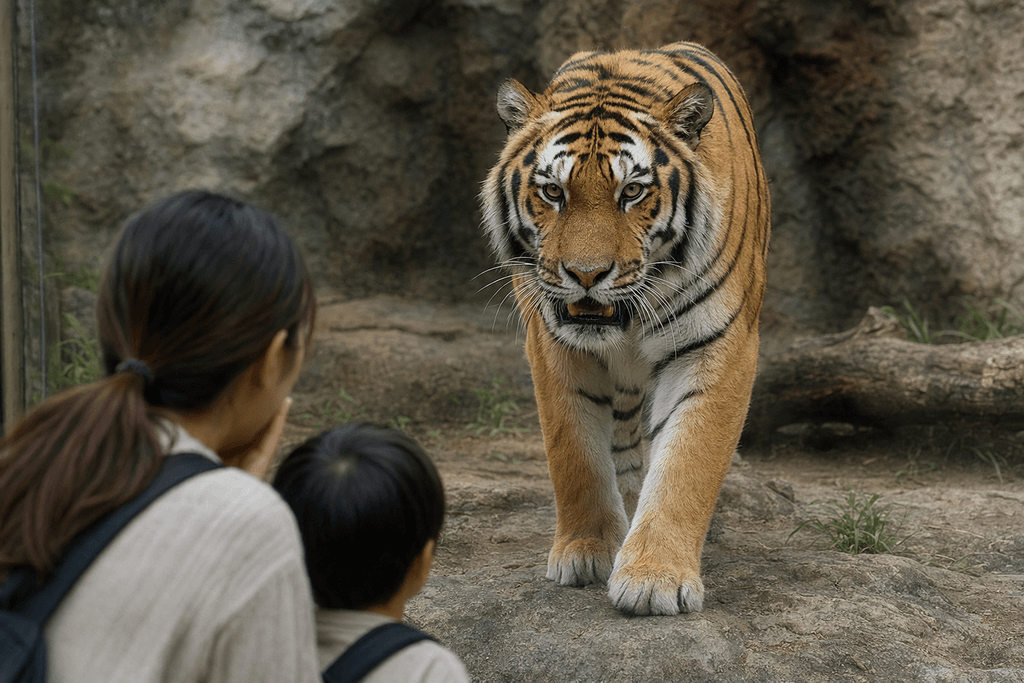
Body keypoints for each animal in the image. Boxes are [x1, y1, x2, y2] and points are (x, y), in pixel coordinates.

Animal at [480, 41, 770, 615]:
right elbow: (575, 453)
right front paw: (588, 550)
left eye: (632, 192)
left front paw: (654, 577)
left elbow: (687, 461)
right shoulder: (553, 344)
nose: (586, 274)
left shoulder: (717, 344)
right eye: (553, 192)